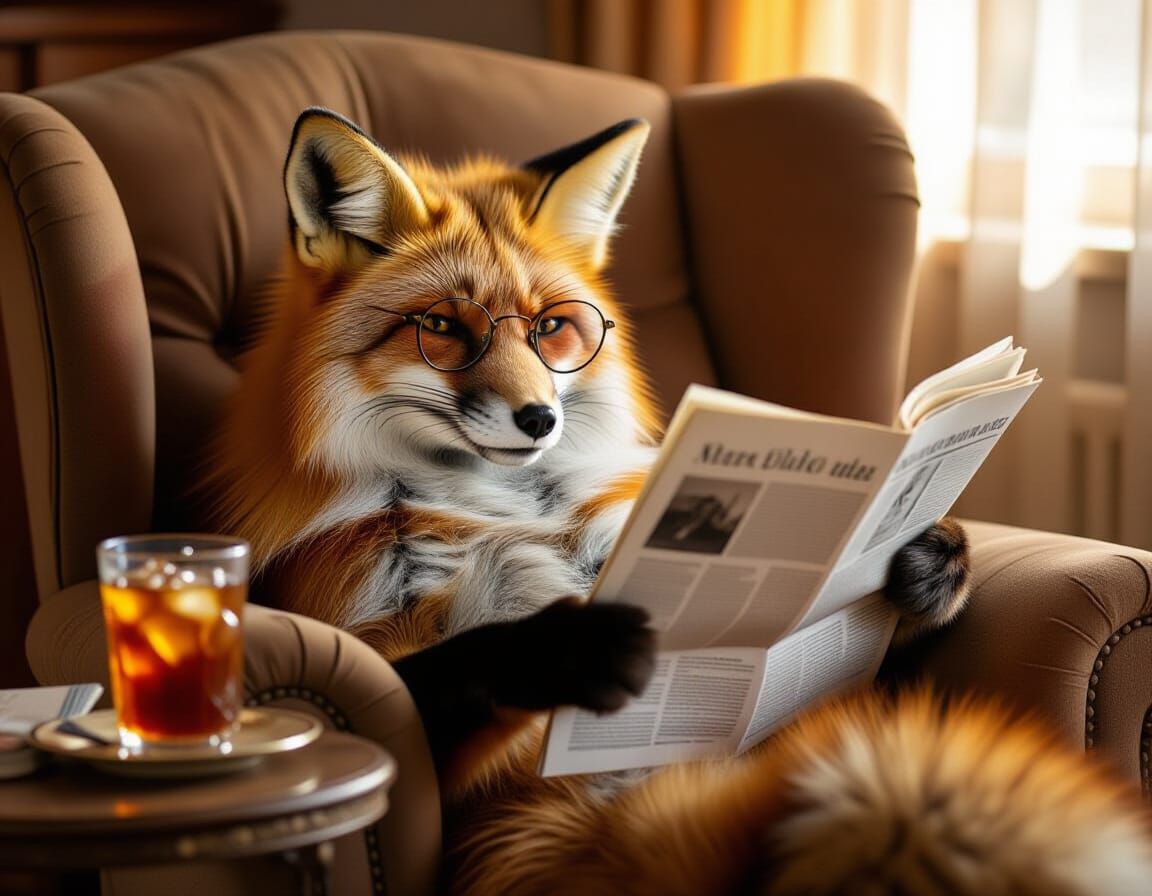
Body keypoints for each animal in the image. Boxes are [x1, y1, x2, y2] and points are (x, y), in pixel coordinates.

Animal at [207, 108, 1152, 894]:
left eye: (552, 329)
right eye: (442, 328)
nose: (539, 417)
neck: (515, 508)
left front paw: (924, 558)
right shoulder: (382, 654)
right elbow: (458, 669)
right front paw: (567, 646)